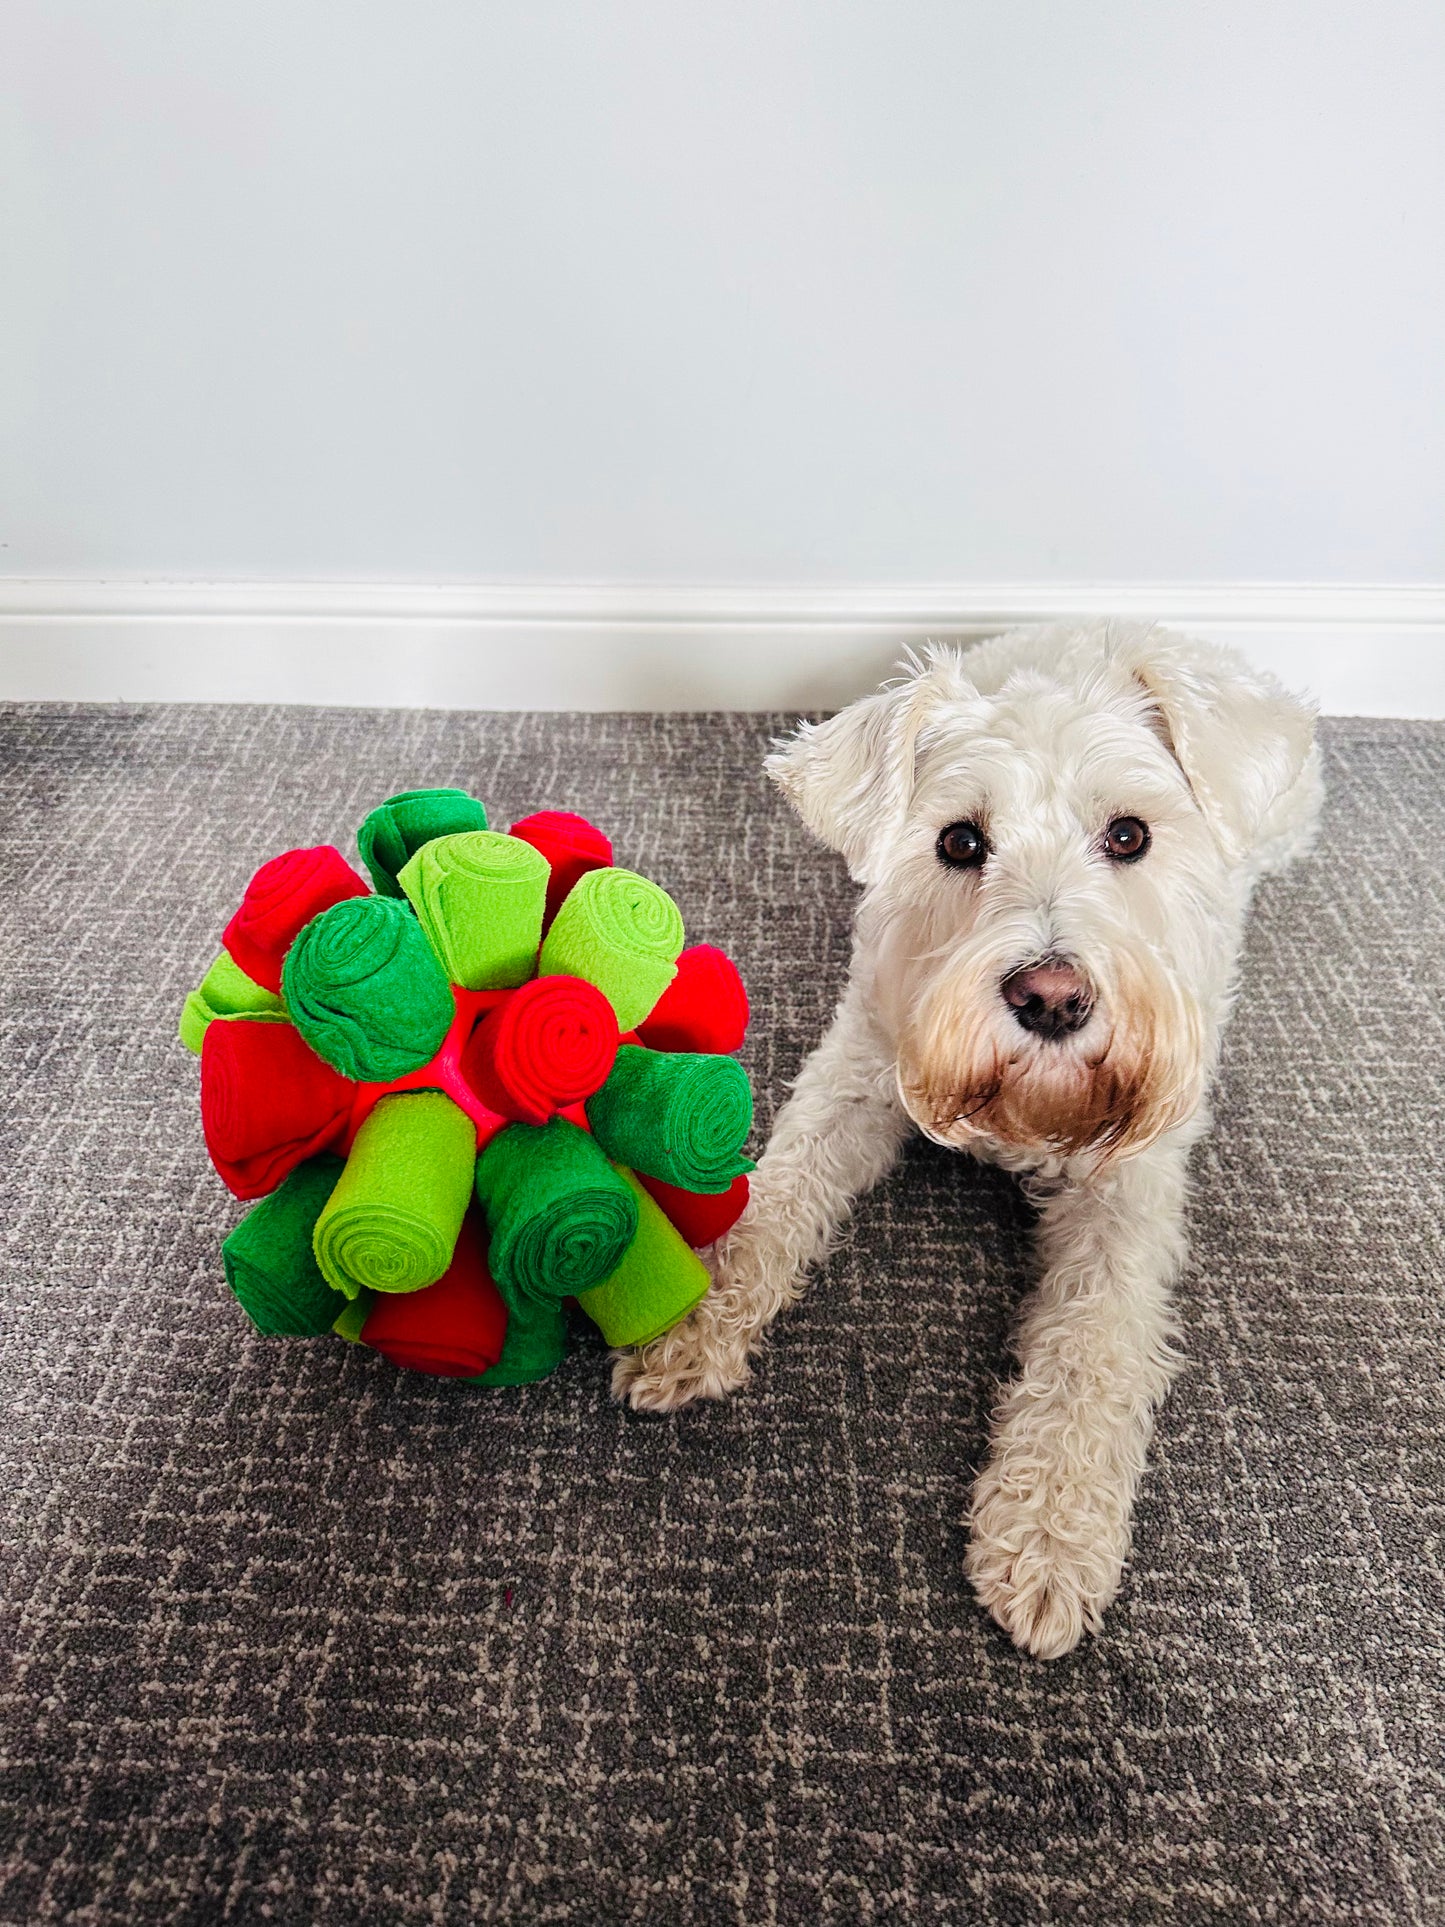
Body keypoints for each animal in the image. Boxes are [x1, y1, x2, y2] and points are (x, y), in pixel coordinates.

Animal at [612, 624, 1325, 1664]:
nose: (1052, 997)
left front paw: (1049, 1531)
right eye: (959, 841)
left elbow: (1091, 1345)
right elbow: (771, 1198)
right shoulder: (856, 1071)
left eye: (1128, 835)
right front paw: (687, 1312)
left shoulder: (1126, 1193)